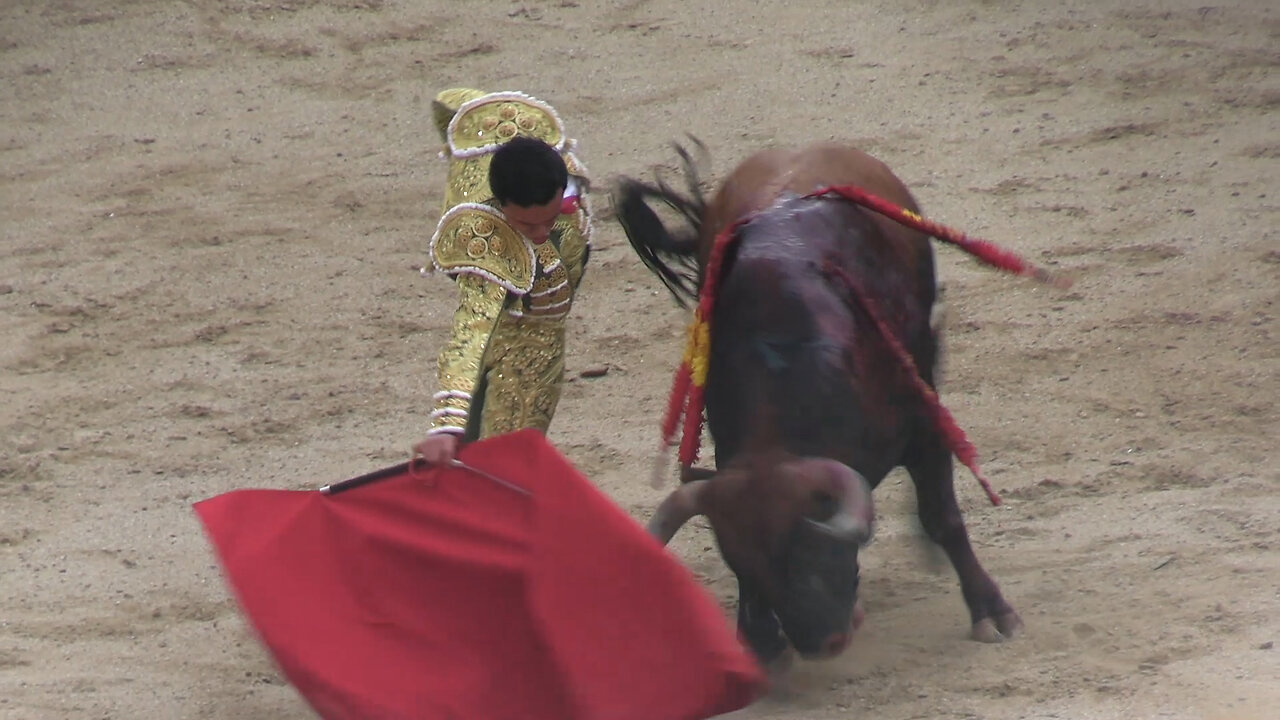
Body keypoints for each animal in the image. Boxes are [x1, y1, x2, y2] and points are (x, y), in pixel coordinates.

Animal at [614, 141, 1024, 666]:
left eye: (812, 550)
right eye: (743, 565)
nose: (820, 643)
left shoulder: (923, 427)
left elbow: (943, 518)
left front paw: (991, 611)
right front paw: (759, 639)